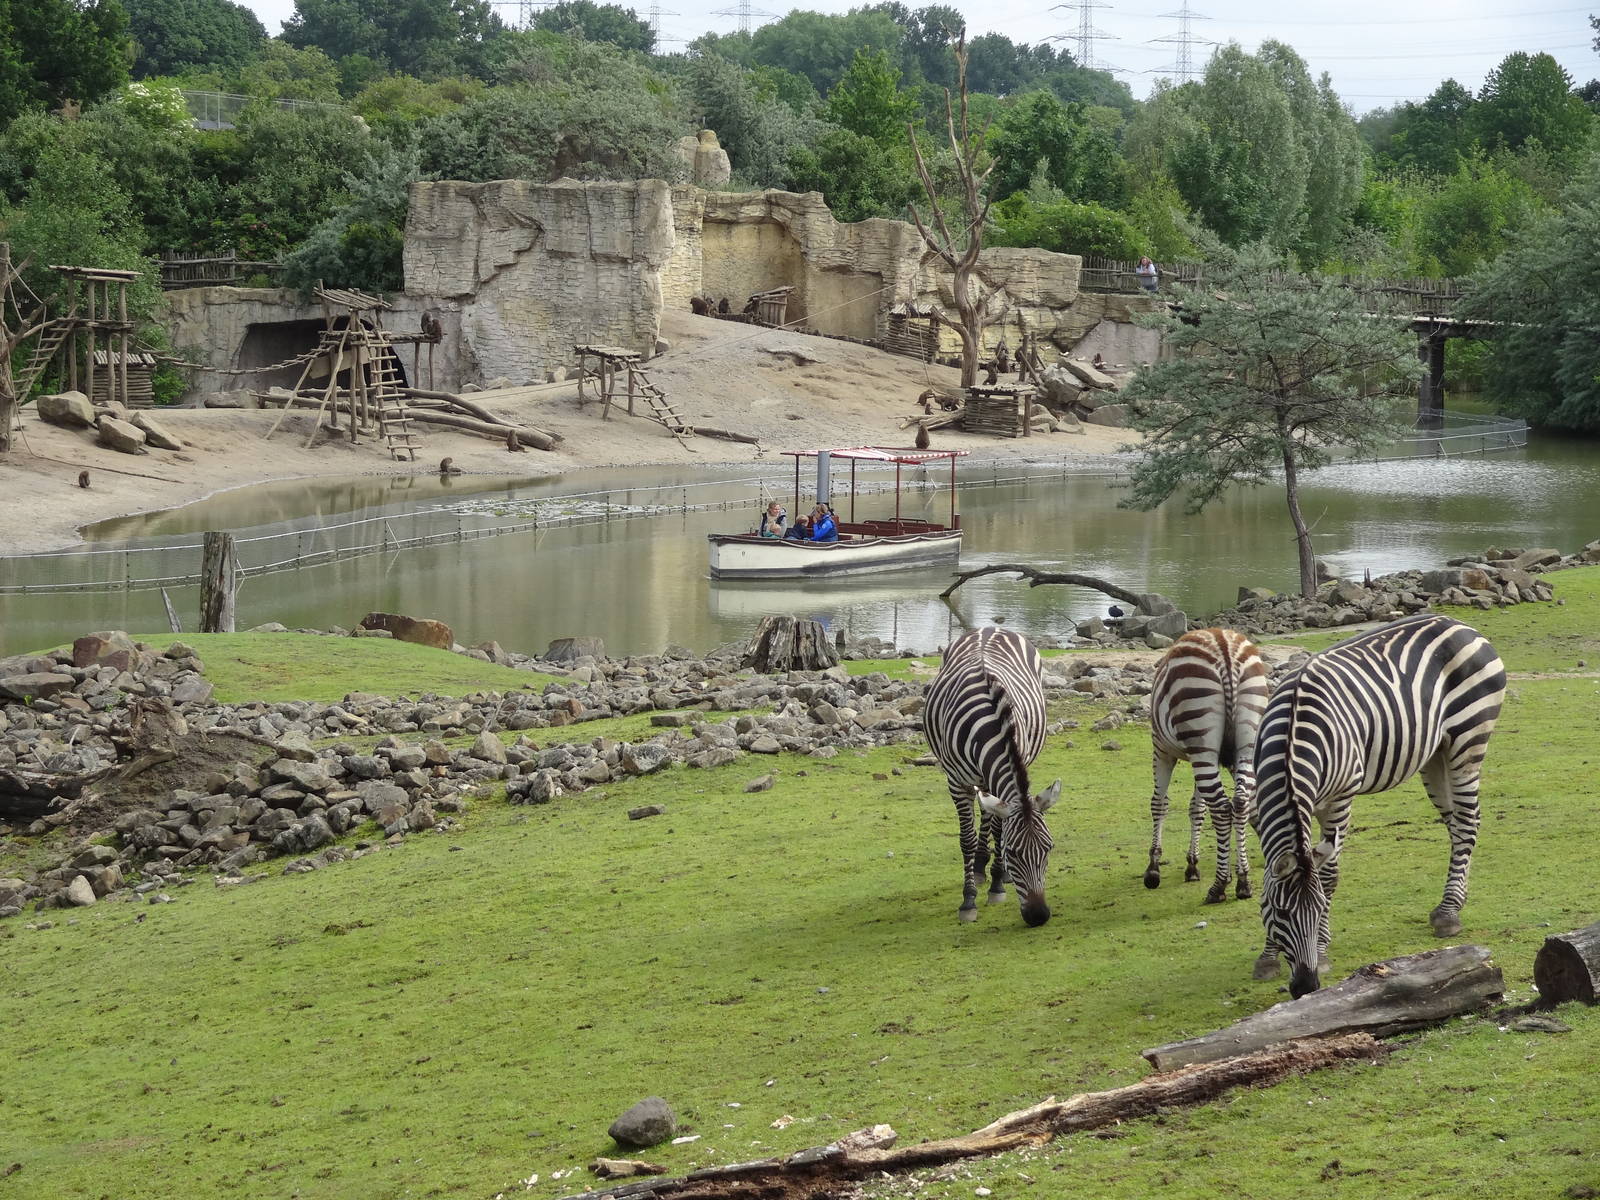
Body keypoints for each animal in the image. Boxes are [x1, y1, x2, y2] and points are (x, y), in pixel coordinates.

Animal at [924, 628, 1061, 927]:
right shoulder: (957, 782)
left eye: (1049, 848)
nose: (1039, 916)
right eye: (1013, 852)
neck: (989, 728)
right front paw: (968, 901)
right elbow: (966, 839)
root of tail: (989, 628)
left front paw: (997, 884)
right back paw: (977, 868)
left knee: (989, 814)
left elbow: (998, 828)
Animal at [1144, 628, 1271, 903]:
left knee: (1222, 808)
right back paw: (1243, 882)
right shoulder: (1207, 758)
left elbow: (1160, 803)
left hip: (1199, 735)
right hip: (1245, 740)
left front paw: (1153, 869)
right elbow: (1198, 808)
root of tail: (1224, 646)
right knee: (1239, 804)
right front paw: (1194, 864)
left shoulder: (1161, 748)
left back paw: (1219, 887)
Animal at [1252, 613, 1506, 998]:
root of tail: (1458, 622)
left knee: (1466, 820)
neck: (1294, 736)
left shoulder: (1340, 798)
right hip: (1435, 753)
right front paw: (1268, 957)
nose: (1307, 987)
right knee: (1458, 823)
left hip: (1469, 739)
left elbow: (1329, 876)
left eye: (1320, 910)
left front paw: (1322, 951)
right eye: (1280, 913)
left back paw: (1449, 913)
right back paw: (1453, 902)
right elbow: (1268, 877)